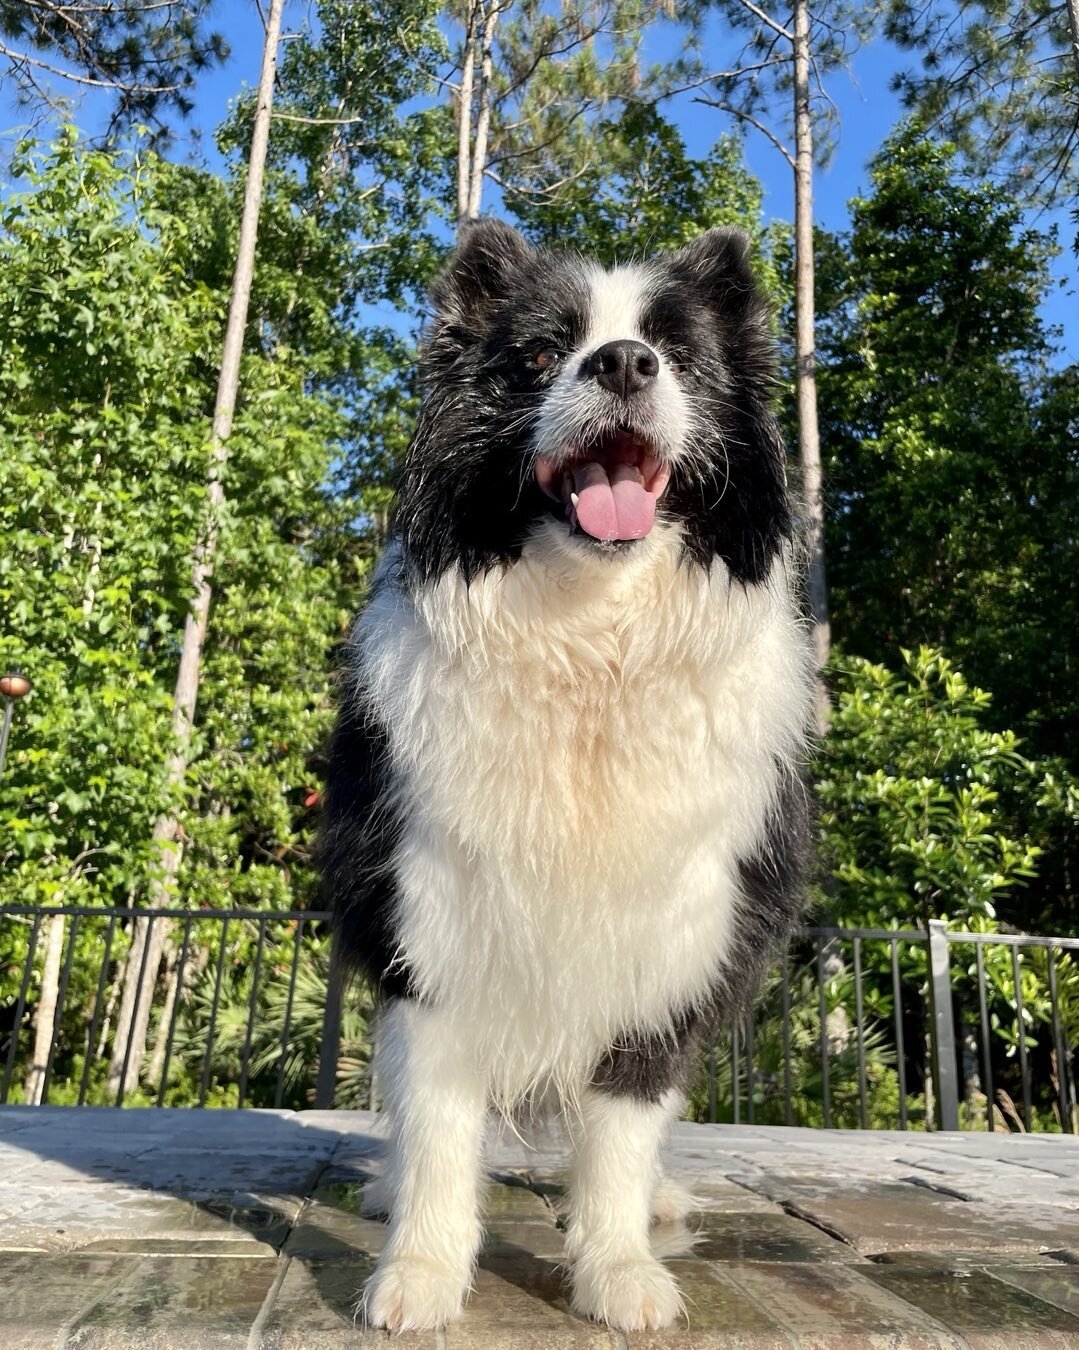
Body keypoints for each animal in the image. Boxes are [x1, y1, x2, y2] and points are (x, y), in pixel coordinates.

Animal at [325, 221, 815, 1328]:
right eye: (543, 354)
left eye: (676, 356)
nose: (624, 364)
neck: (591, 645)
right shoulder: (434, 919)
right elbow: (438, 1124)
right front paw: (421, 1271)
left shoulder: (669, 933)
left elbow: (622, 1124)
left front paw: (618, 1269)